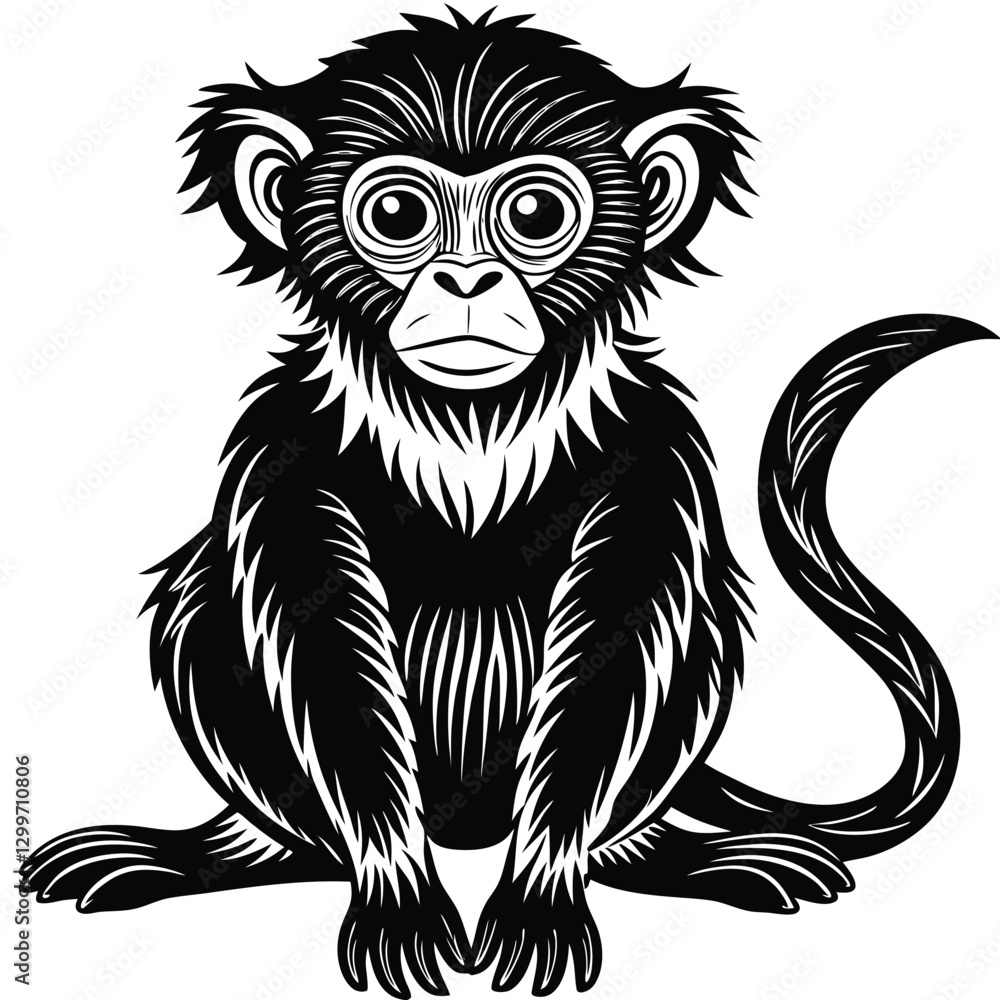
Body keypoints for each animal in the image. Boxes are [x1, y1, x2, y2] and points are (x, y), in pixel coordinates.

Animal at [21, 10, 994, 998]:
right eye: (397, 216)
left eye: (534, 216)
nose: (465, 281)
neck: (472, 423)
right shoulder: (283, 445)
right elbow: (317, 641)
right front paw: (398, 894)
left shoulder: (652, 447)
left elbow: (621, 637)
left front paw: (541, 893)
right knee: (204, 608)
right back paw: (225, 852)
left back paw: (668, 857)